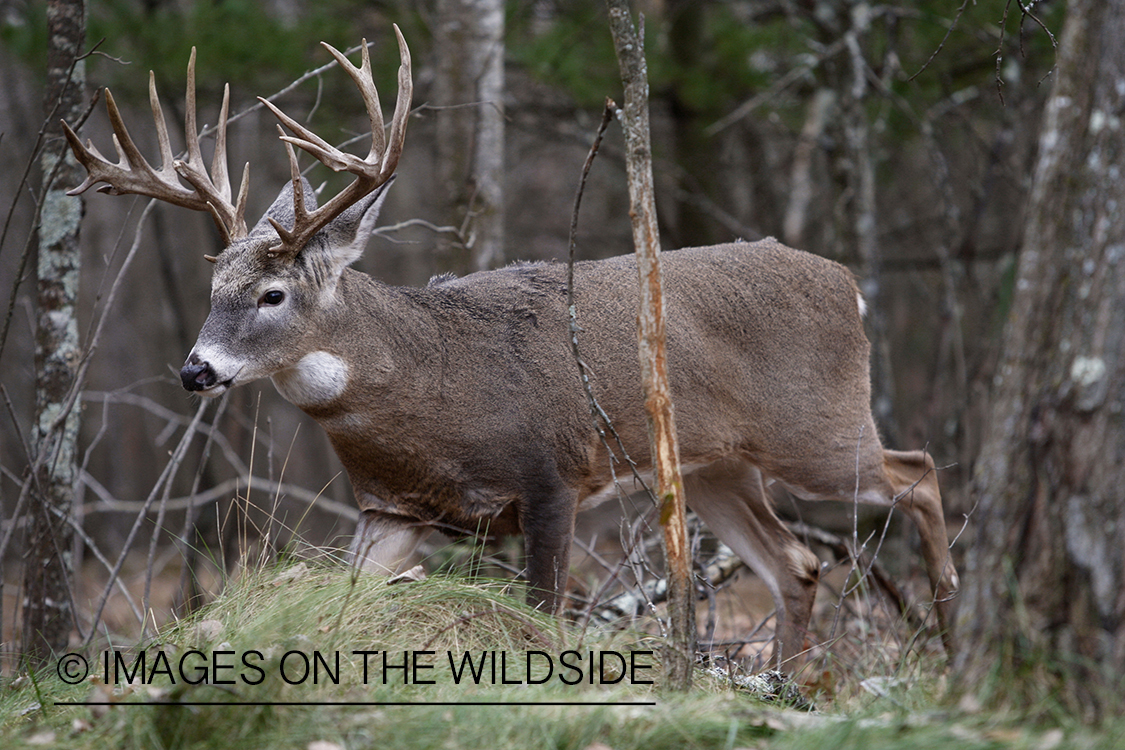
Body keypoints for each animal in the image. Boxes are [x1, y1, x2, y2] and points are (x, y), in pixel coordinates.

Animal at [63, 26, 958, 665]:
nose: (194, 370)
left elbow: (542, 616)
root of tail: (847, 283)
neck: (426, 389)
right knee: (797, 562)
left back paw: (949, 635)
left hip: (815, 428)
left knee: (917, 472)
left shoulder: (551, 474)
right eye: (215, 283)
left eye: (272, 295)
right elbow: (345, 605)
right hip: (714, 468)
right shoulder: (390, 508)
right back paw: (793, 679)